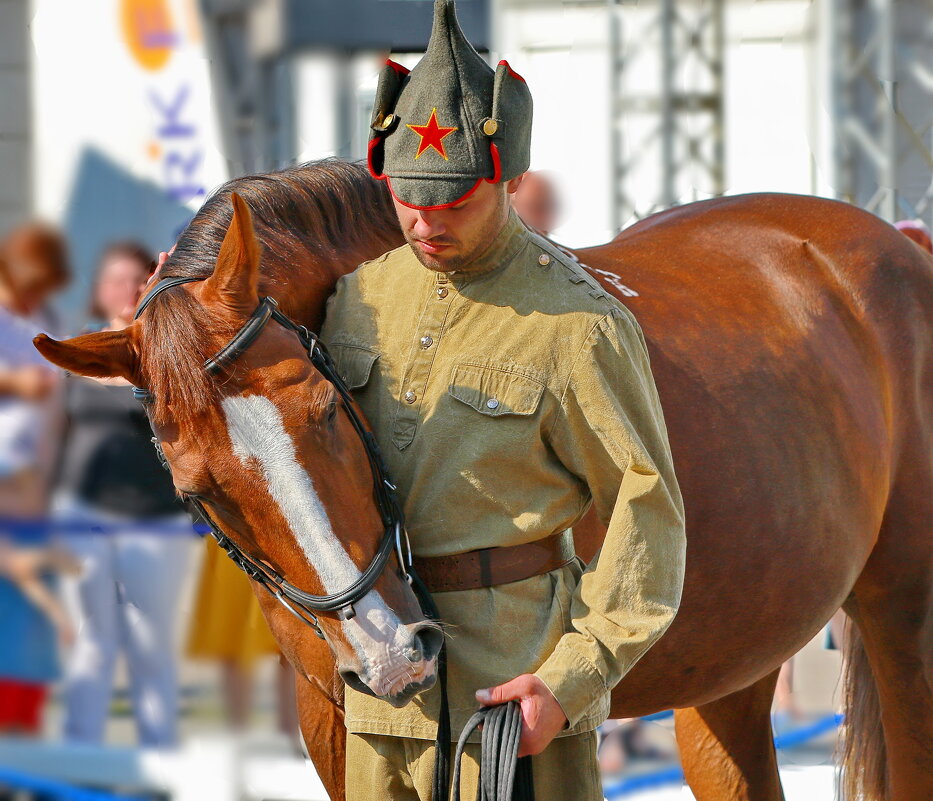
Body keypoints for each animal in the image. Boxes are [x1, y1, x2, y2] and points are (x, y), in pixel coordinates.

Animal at [32, 162, 928, 800]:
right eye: (196, 490)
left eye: (325, 404)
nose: (393, 654)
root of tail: (895, 244)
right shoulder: (340, 725)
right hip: (733, 659)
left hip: (900, 622)